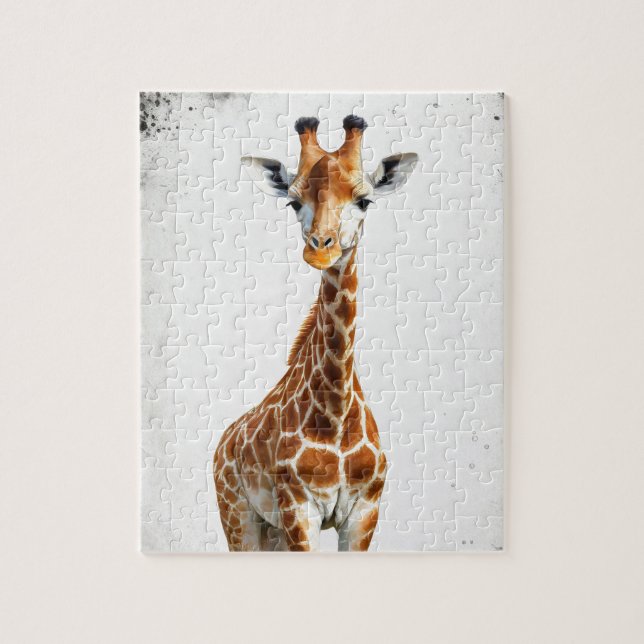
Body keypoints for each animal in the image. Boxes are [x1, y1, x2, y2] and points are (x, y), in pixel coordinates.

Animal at [214, 115, 418, 551]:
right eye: (294, 202)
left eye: (364, 200)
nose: (320, 248)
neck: (335, 415)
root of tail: (224, 440)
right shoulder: (298, 508)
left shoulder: (364, 511)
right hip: (239, 517)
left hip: (269, 529)